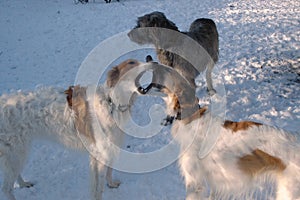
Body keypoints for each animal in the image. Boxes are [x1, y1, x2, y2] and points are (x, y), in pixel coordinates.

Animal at [0, 58, 142, 200]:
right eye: (131, 63)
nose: (147, 58)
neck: (111, 101)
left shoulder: (106, 149)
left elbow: (108, 173)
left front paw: (111, 184)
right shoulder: (102, 153)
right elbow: (99, 186)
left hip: (18, 152)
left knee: (15, 176)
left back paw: (23, 183)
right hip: (16, 152)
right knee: (6, 188)